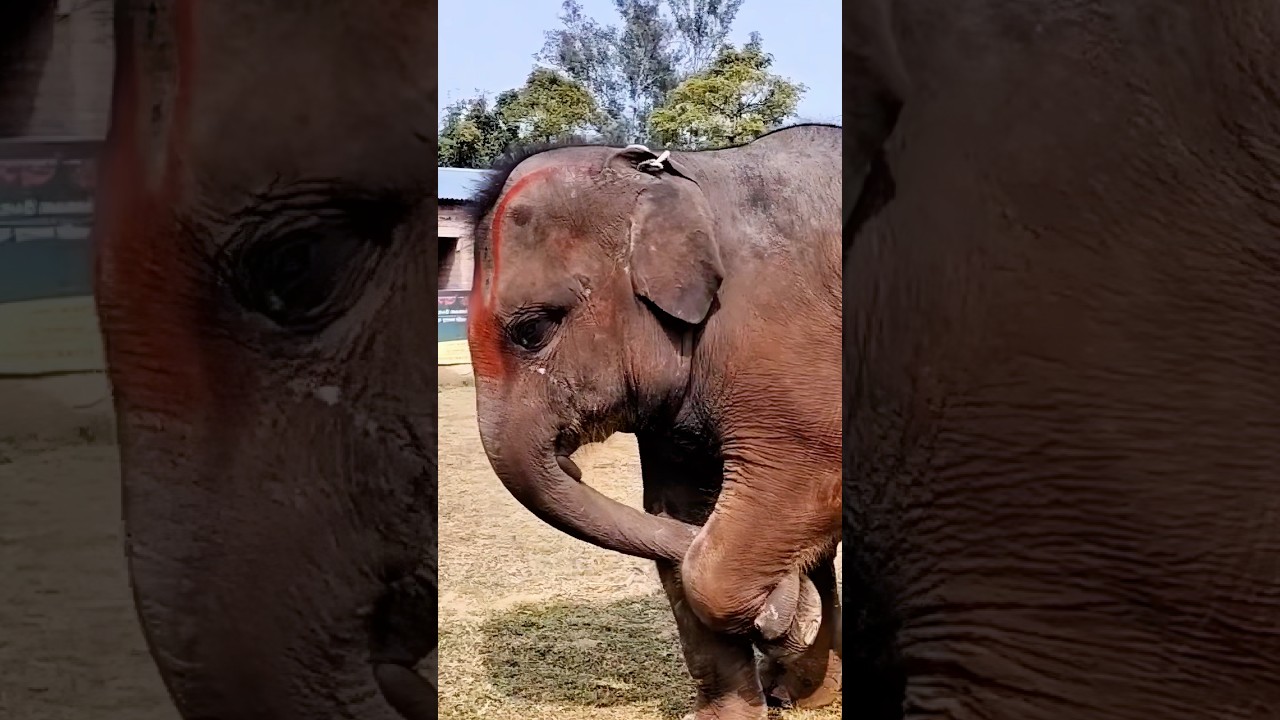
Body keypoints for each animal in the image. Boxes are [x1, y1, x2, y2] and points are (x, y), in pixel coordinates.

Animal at [465, 125, 843, 719]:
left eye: (532, 330)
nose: (781, 606)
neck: (685, 177)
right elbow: (676, 521)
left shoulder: (794, 342)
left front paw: (784, 622)